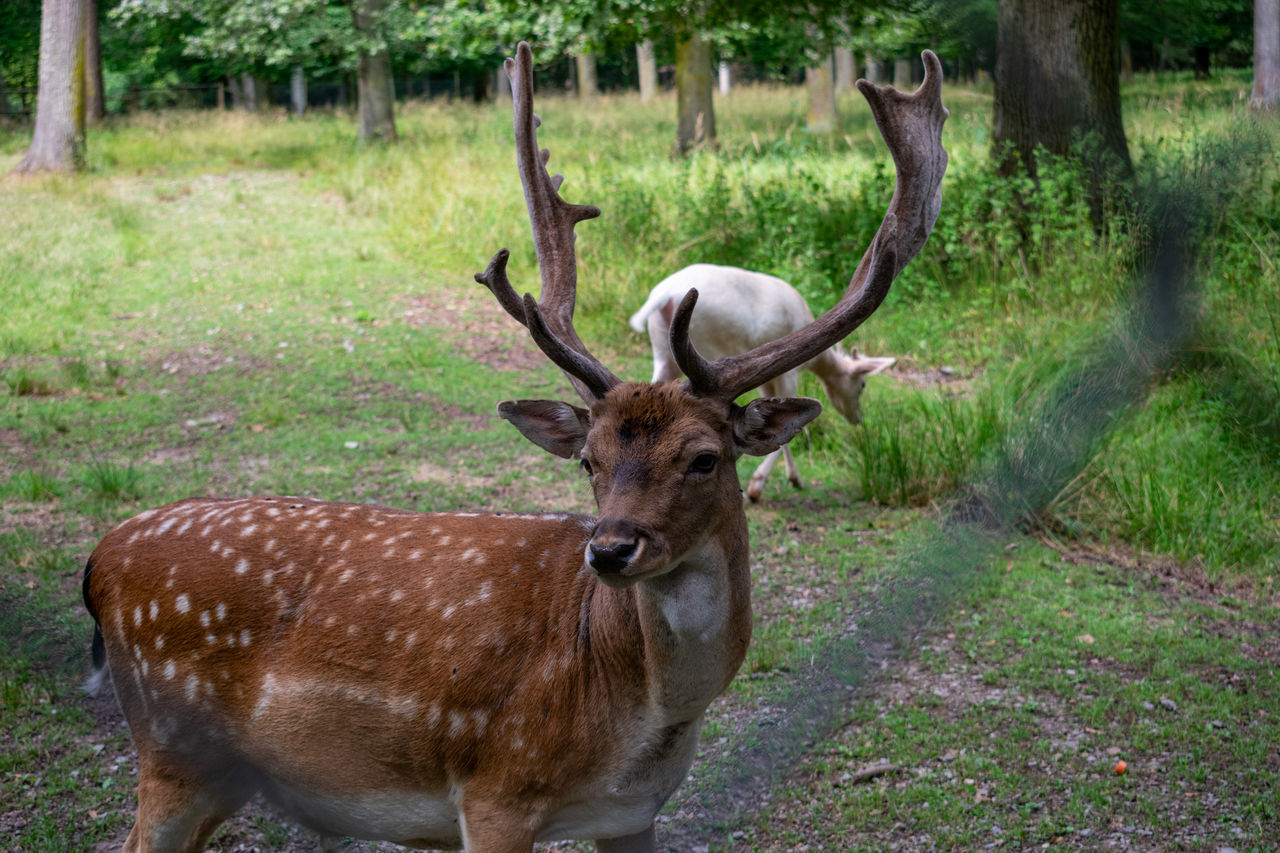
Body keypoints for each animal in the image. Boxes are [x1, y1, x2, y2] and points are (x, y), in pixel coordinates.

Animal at [632, 262, 901, 502]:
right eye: (863, 384)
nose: (858, 418)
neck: (817, 362)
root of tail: (662, 295)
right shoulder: (790, 374)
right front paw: (766, 485)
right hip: (707, 345)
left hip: (662, 350)